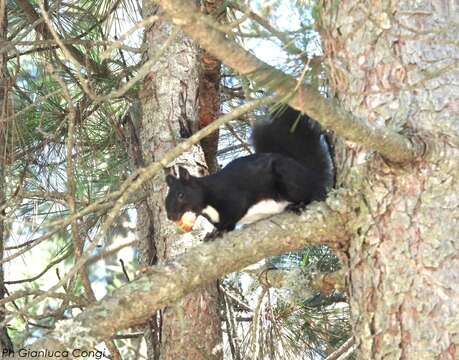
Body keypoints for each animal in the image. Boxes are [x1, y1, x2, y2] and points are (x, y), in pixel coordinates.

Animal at [165, 105, 334, 232]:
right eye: (166, 198)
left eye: (180, 195)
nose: (170, 216)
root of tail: (313, 176)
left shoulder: (233, 197)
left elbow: (233, 215)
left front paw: (219, 232)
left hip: (289, 177)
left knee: (311, 194)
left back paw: (299, 204)